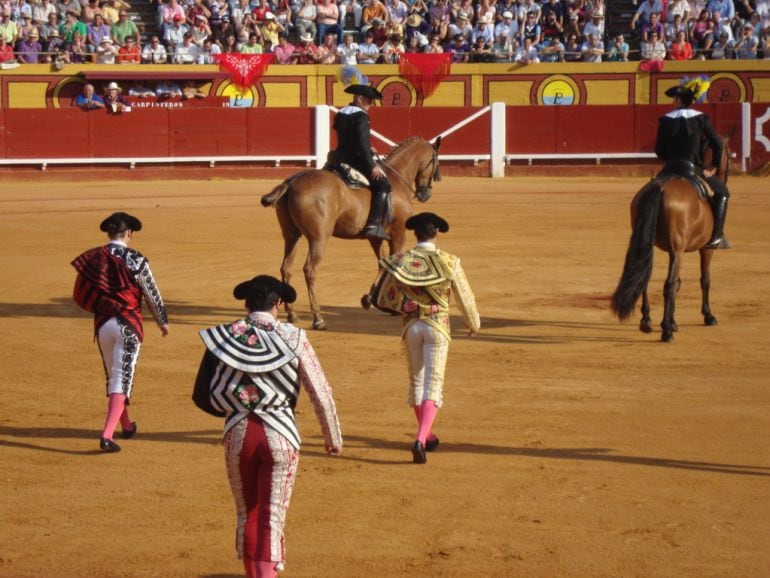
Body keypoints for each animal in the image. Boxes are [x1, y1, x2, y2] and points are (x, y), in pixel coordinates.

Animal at [260, 134, 440, 328]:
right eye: (436, 161)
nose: (425, 194)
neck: (397, 178)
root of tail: (291, 182)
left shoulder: (375, 237)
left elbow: (382, 263)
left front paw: (370, 300)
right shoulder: (398, 234)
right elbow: (393, 266)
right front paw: (388, 306)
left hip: (292, 236)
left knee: (286, 268)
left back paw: (292, 314)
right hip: (319, 238)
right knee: (310, 270)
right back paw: (318, 318)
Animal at [608, 134, 728, 342]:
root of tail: (661, 187)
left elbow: (679, 282)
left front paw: (673, 321)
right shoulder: (705, 249)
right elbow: (704, 280)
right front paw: (707, 316)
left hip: (648, 244)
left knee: (644, 278)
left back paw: (647, 322)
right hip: (677, 249)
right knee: (668, 284)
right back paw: (666, 332)